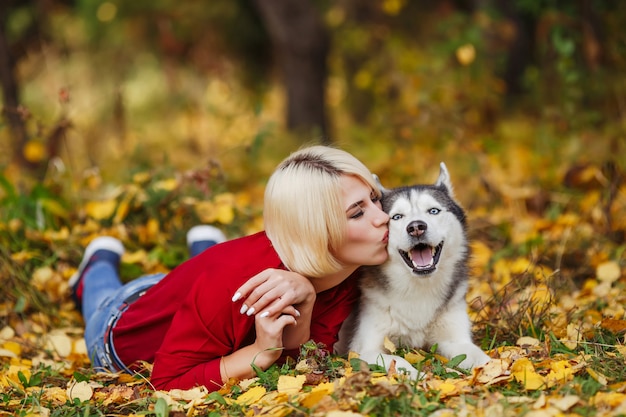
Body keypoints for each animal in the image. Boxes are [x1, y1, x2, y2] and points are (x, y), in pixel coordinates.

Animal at [344, 163, 490, 376]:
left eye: (433, 211)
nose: (416, 227)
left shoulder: (455, 339)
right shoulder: (363, 350)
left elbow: (482, 357)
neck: (419, 287)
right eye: (397, 217)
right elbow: (398, 361)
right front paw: (417, 376)